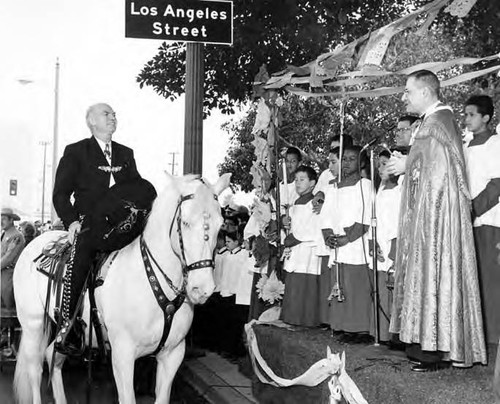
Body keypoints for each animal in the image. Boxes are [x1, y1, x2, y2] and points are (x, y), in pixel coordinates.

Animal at [12, 172, 230, 402]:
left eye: (220, 225)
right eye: (186, 222)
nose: (202, 289)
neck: (154, 283)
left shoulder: (172, 355)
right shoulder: (123, 355)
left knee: (52, 357)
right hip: (33, 323)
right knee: (35, 368)